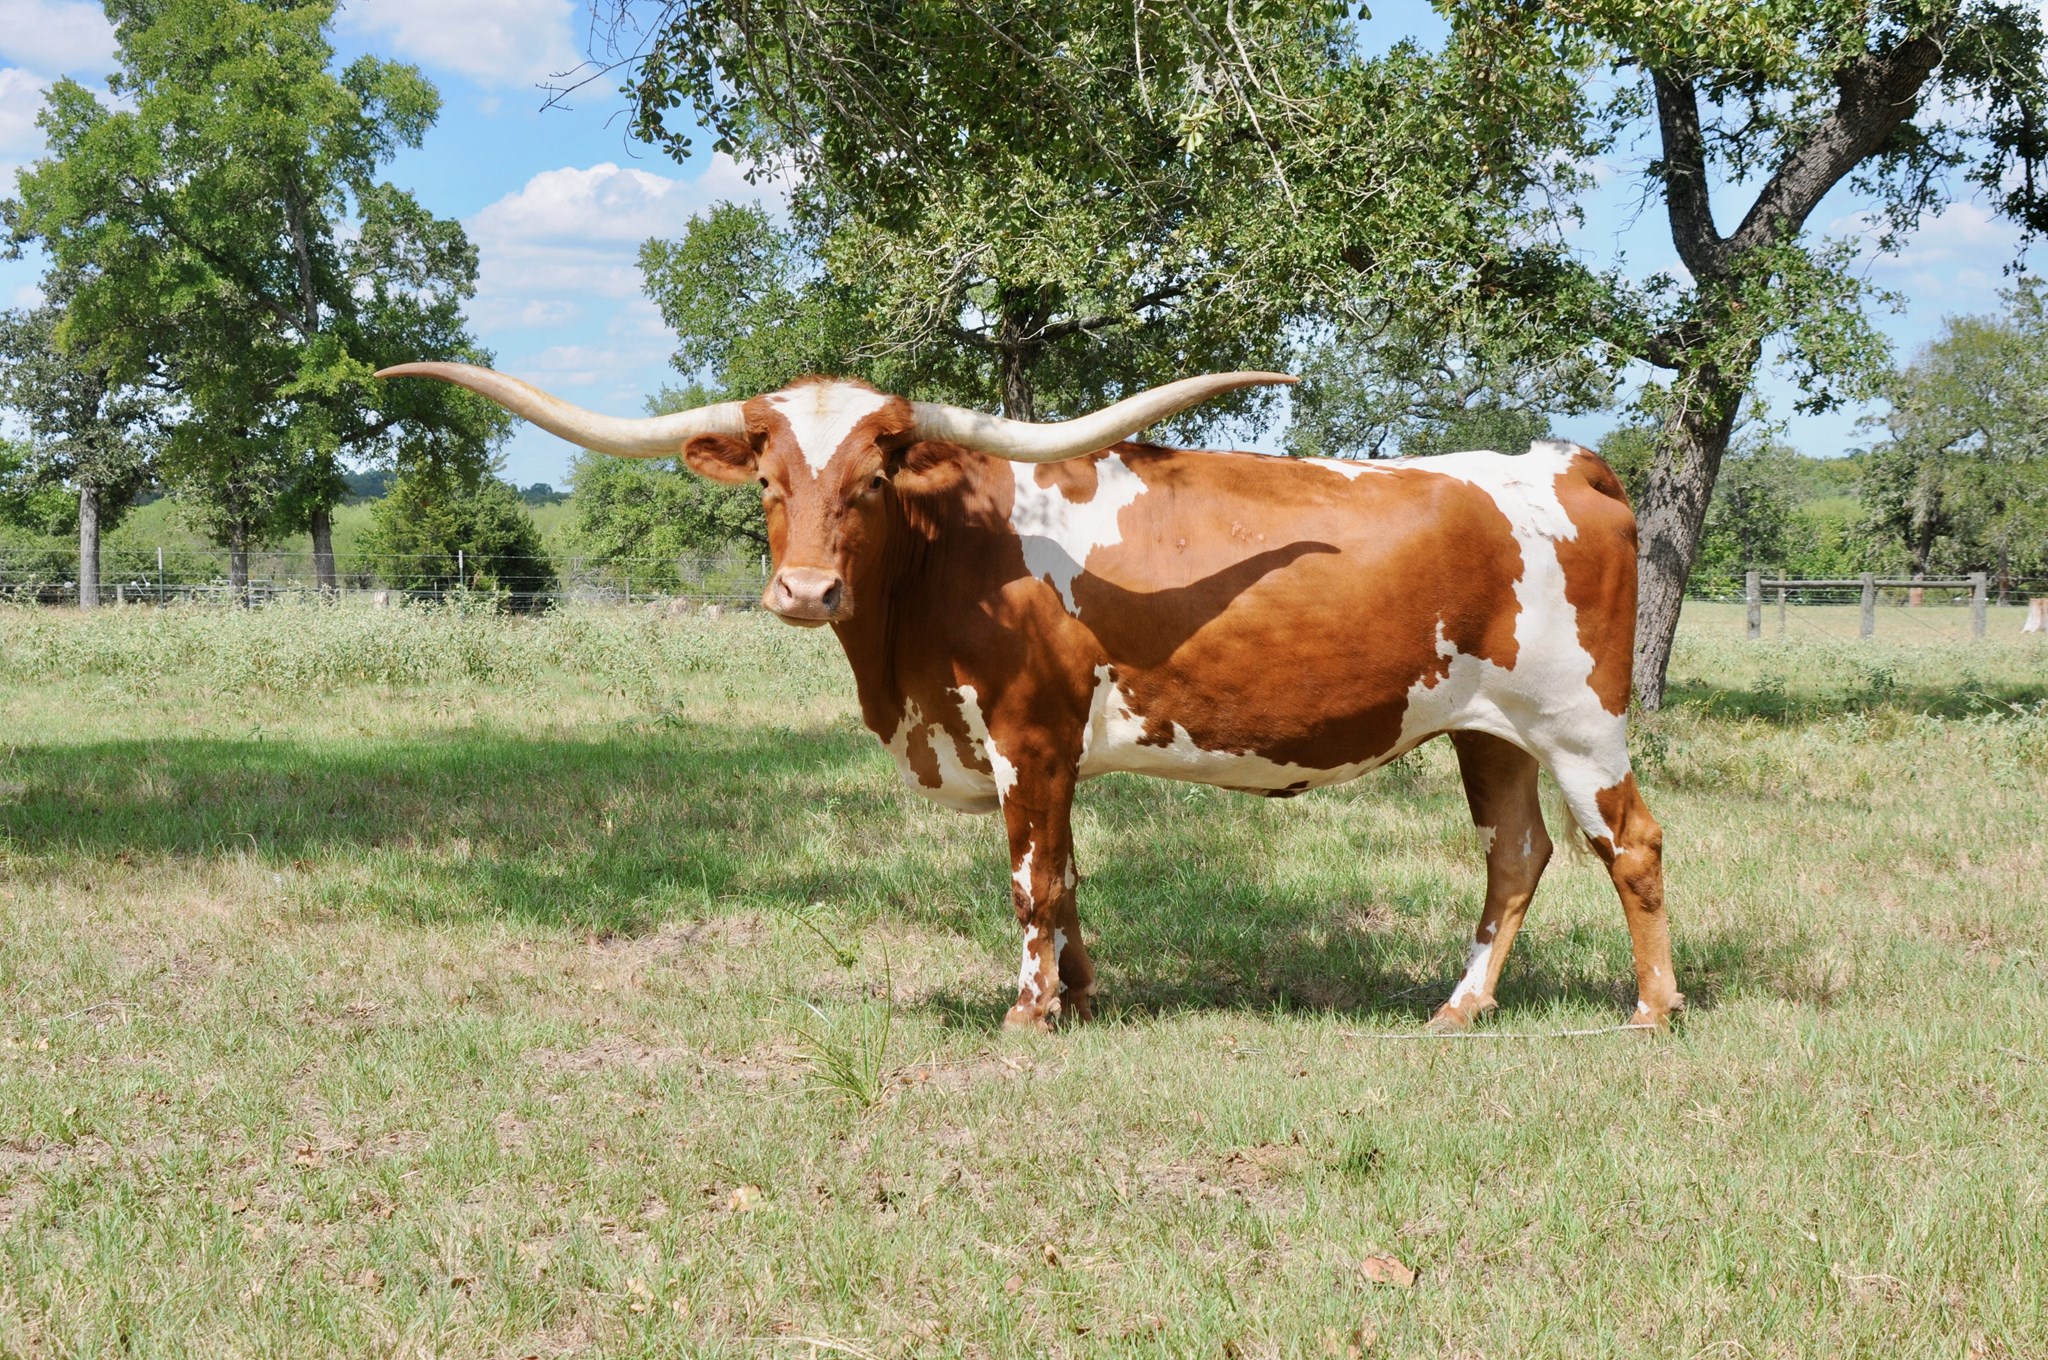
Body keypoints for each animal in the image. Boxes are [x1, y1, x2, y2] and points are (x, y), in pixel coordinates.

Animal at [377, 363, 1682, 1033]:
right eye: (767, 478)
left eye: (873, 473)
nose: (804, 589)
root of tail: (1564, 459)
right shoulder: (1049, 752)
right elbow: (1069, 875)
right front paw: (1080, 992)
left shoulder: (1026, 733)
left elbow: (1032, 877)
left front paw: (1027, 1011)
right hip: (1484, 728)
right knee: (1514, 855)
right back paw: (1457, 1009)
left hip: (1579, 721)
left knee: (1629, 845)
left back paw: (1652, 1009)